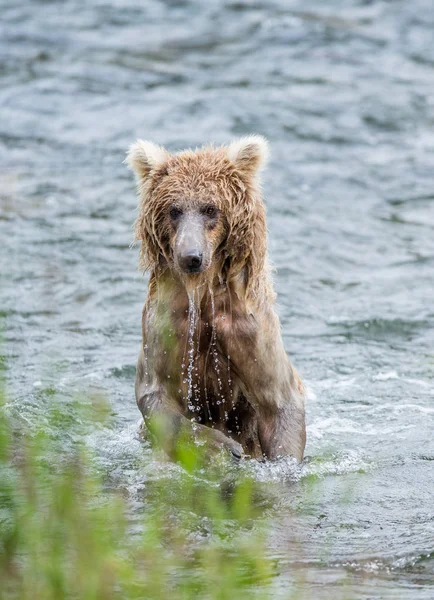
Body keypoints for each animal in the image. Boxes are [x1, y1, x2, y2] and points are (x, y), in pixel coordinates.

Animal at [126, 137, 306, 464]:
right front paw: (222, 445)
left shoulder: (247, 328)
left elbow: (279, 401)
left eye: (210, 208)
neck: (202, 293)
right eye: (174, 210)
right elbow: (156, 395)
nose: (191, 257)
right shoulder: (167, 326)